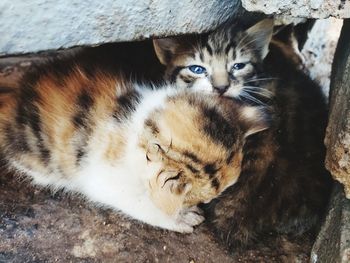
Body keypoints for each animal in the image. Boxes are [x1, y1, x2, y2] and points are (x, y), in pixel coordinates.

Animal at [0, 52, 270, 234]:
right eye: (198, 201)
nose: (201, 205)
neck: (140, 124)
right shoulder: (101, 176)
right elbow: (139, 201)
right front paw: (181, 217)